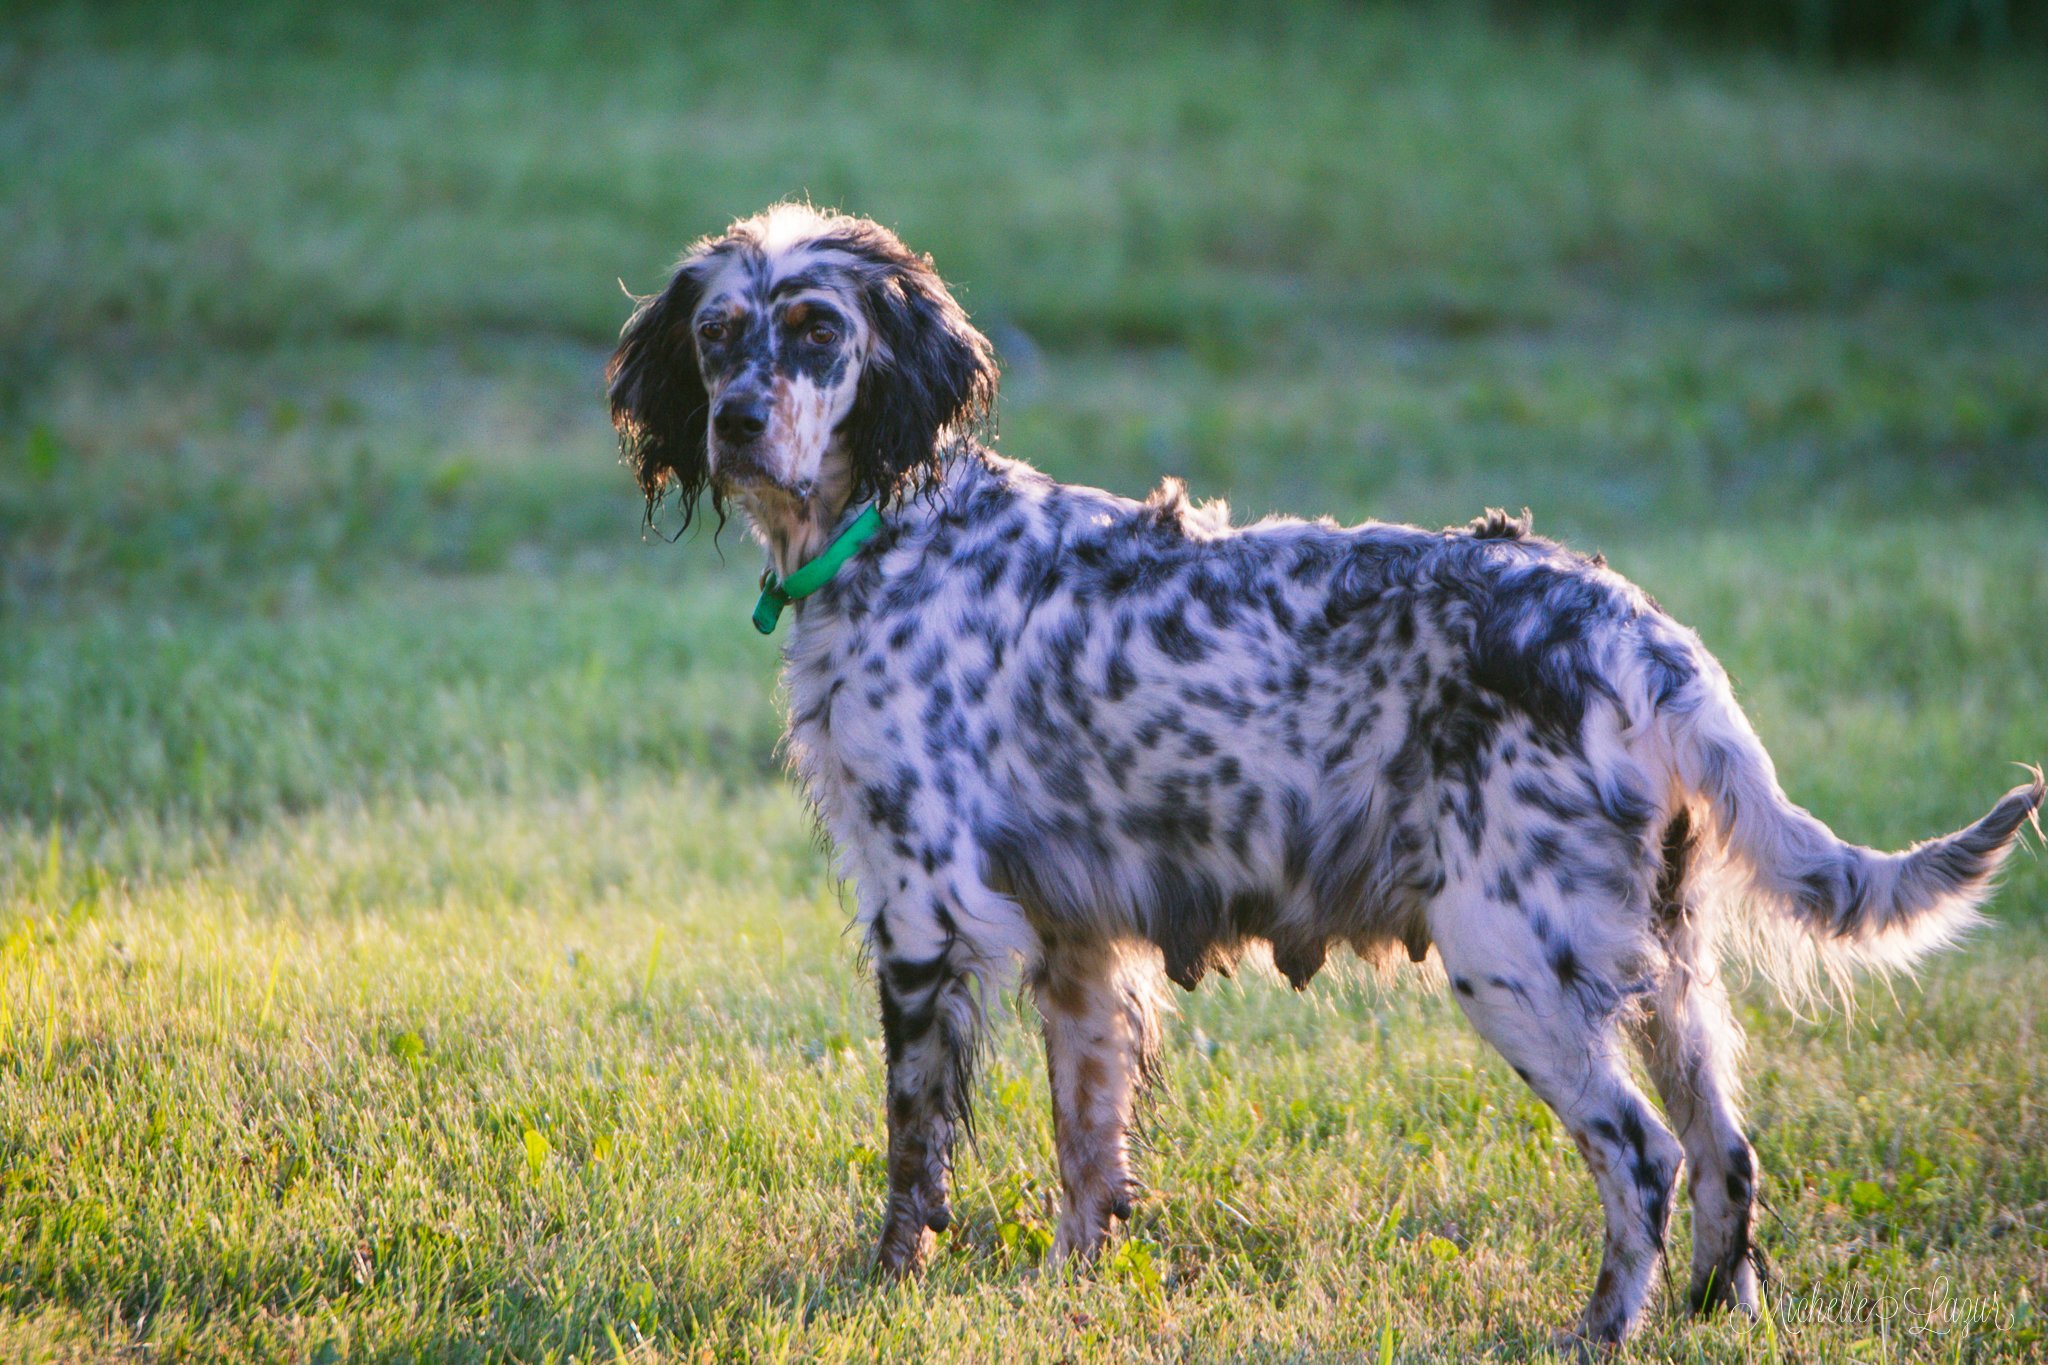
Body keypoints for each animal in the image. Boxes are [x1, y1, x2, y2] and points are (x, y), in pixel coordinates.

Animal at [602, 208, 2031, 1350]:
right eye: (718, 336)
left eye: (815, 332)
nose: (735, 423)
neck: (900, 530)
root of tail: (1635, 631)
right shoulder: (1079, 946)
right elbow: (1086, 1154)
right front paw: (1068, 1294)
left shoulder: (922, 912)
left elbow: (912, 1153)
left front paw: (889, 1281)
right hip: (1661, 966)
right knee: (1727, 1155)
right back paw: (1716, 1321)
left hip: (1512, 959)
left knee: (1644, 1157)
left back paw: (1597, 1331)